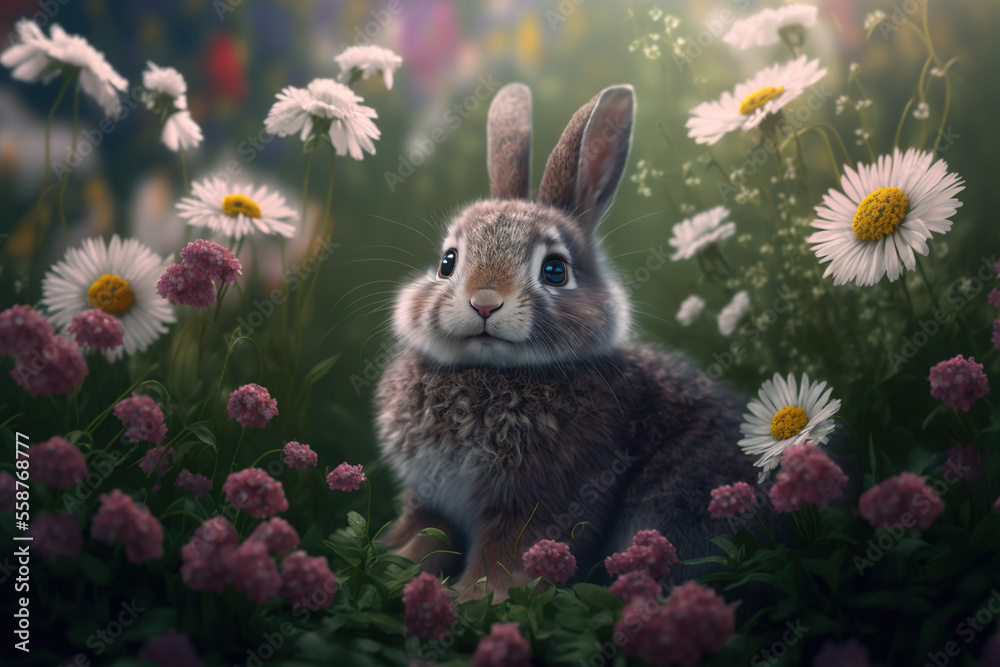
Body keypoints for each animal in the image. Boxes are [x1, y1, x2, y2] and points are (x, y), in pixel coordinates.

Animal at [375, 82, 759, 602]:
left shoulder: (541, 504)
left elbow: (504, 560)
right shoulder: (431, 501)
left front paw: (475, 599)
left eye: (555, 271)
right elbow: (422, 540)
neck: (493, 372)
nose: (484, 303)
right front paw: (393, 567)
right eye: (447, 263)